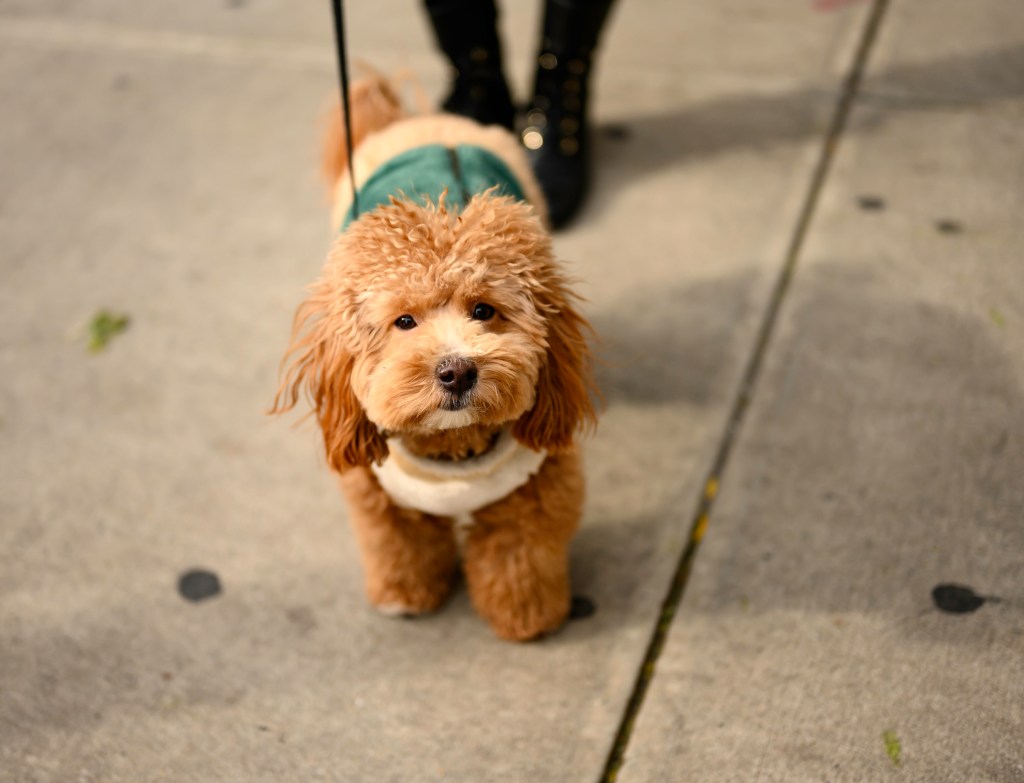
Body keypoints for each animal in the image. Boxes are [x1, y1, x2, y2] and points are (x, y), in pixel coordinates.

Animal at [272, 74, 598, 642]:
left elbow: (520, 554)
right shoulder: (380, 493)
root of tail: (421, 121)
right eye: (404, 321)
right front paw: (404, 594)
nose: (457, 371)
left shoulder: (536, 488)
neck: (453, 452)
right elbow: (401, 542)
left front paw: (526, 614)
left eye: (484, 310)